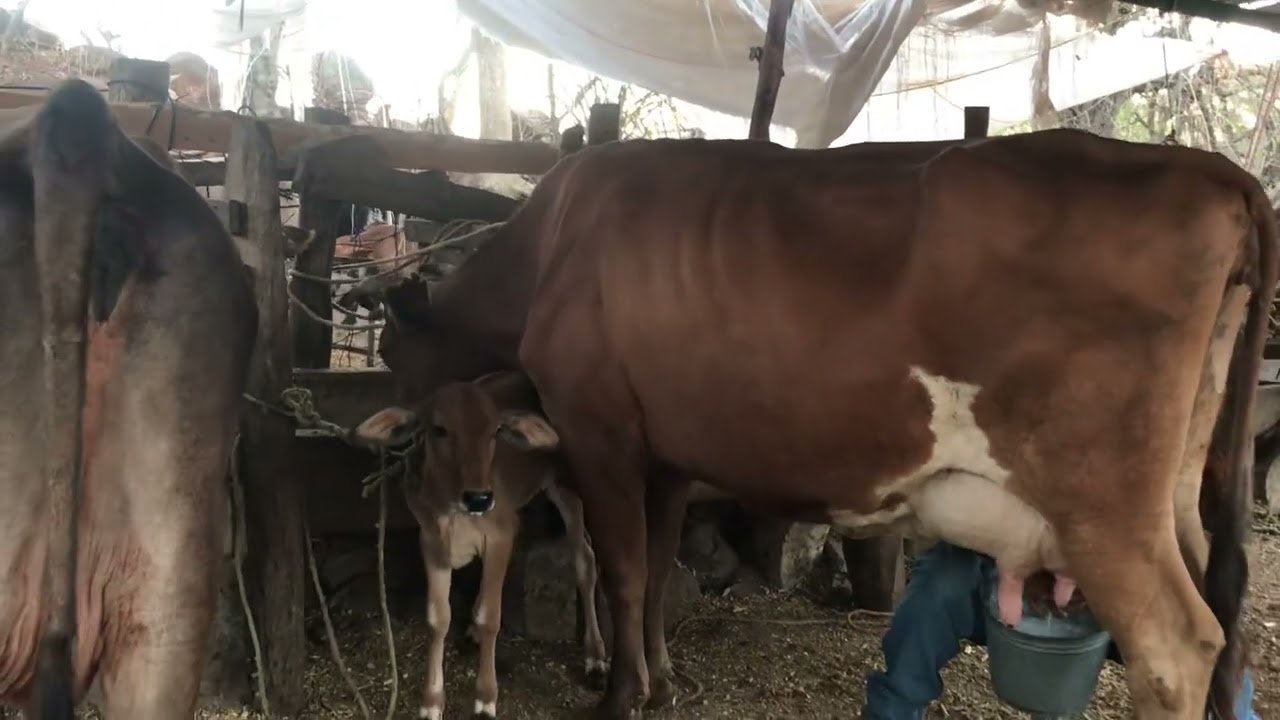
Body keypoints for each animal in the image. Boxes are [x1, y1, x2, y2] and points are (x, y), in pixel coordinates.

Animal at [350, 372, 608, 720]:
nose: (480, 498)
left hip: (567, 491)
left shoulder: (499, 536)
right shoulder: (432, 541)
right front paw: (431, 702)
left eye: (495, 431)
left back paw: (596, 660)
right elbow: (437, 619)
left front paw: (485, 700)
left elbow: (491, 618)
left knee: (585, 561)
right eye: (439, 429)